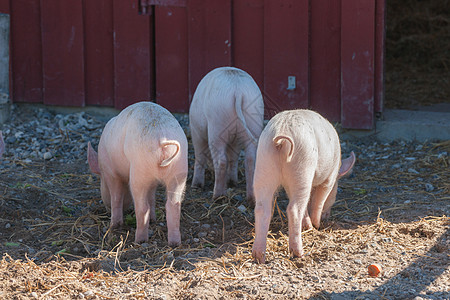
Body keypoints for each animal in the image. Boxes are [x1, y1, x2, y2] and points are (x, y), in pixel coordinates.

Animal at [88, 101, 188, 246]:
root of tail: (161, 140)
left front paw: (114, 225)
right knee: (173, 205)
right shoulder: (153, 181)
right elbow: (151, 197)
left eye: (101, 184)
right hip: (179, 171)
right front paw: (153, 220)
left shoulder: (110, 172)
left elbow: (116, 196)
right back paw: (174, 243)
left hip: (139, 170)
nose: (106, 209)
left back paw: (139, 240)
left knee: (142, 207)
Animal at [189, 67, 264, 204]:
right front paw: (232, 182)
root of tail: (238, 91)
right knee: (250, 159)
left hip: (217, 125)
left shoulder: (196, 130)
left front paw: (196, 186)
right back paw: (251, 199)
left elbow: (199, 156)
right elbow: (233, 156)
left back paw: (217, 197)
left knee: (221, 160)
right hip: (254, 119)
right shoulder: (235, 140)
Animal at [253, 109, 356, 262]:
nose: (327, 217)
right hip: (303, 166)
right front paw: (316, 225)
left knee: (262, 209)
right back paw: (299, 253)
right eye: (336, 192)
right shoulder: (329, 179)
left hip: (264, 164)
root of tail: (282, 134)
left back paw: (258, 257)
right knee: (294, 209)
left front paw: (309, 226)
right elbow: (319, 200)